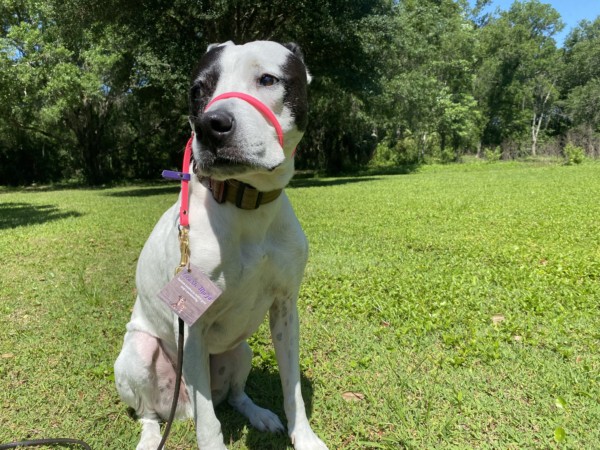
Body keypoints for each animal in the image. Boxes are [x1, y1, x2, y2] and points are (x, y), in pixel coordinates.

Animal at [112, 39, 328, 450]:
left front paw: (304, 436)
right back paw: (150, 436)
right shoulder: (192, 327)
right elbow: (210, 425)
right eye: (198, 90)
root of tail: (179, 406)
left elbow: (291, 385)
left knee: (233, 395)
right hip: (139, 355)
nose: (209, 126)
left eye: (267, 79)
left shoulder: (285, 308)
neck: (247, 204)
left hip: (238, 350)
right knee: (153, 413)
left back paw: (258, 414)